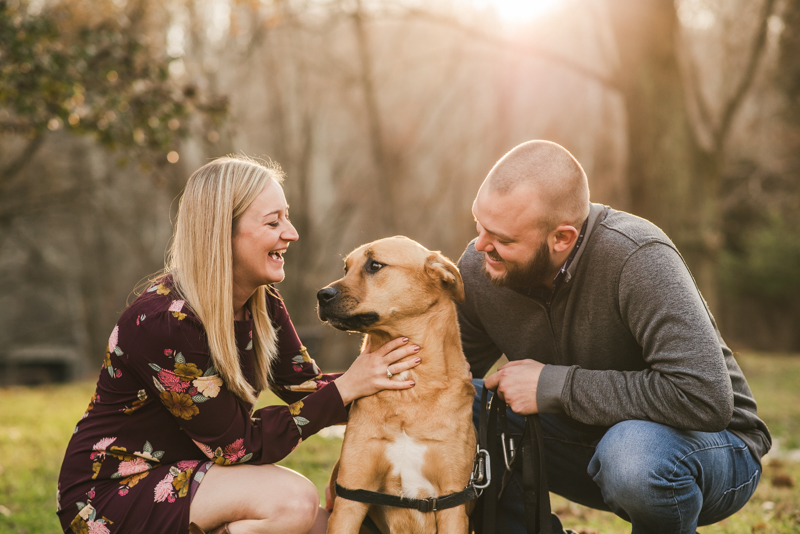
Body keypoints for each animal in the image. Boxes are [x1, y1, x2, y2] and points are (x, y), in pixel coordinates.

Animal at [318, 238, 478, 534]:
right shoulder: (350, 499)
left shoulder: (452, 503)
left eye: (375, 265)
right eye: (346, 267)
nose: (321, 295)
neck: (408, 396)